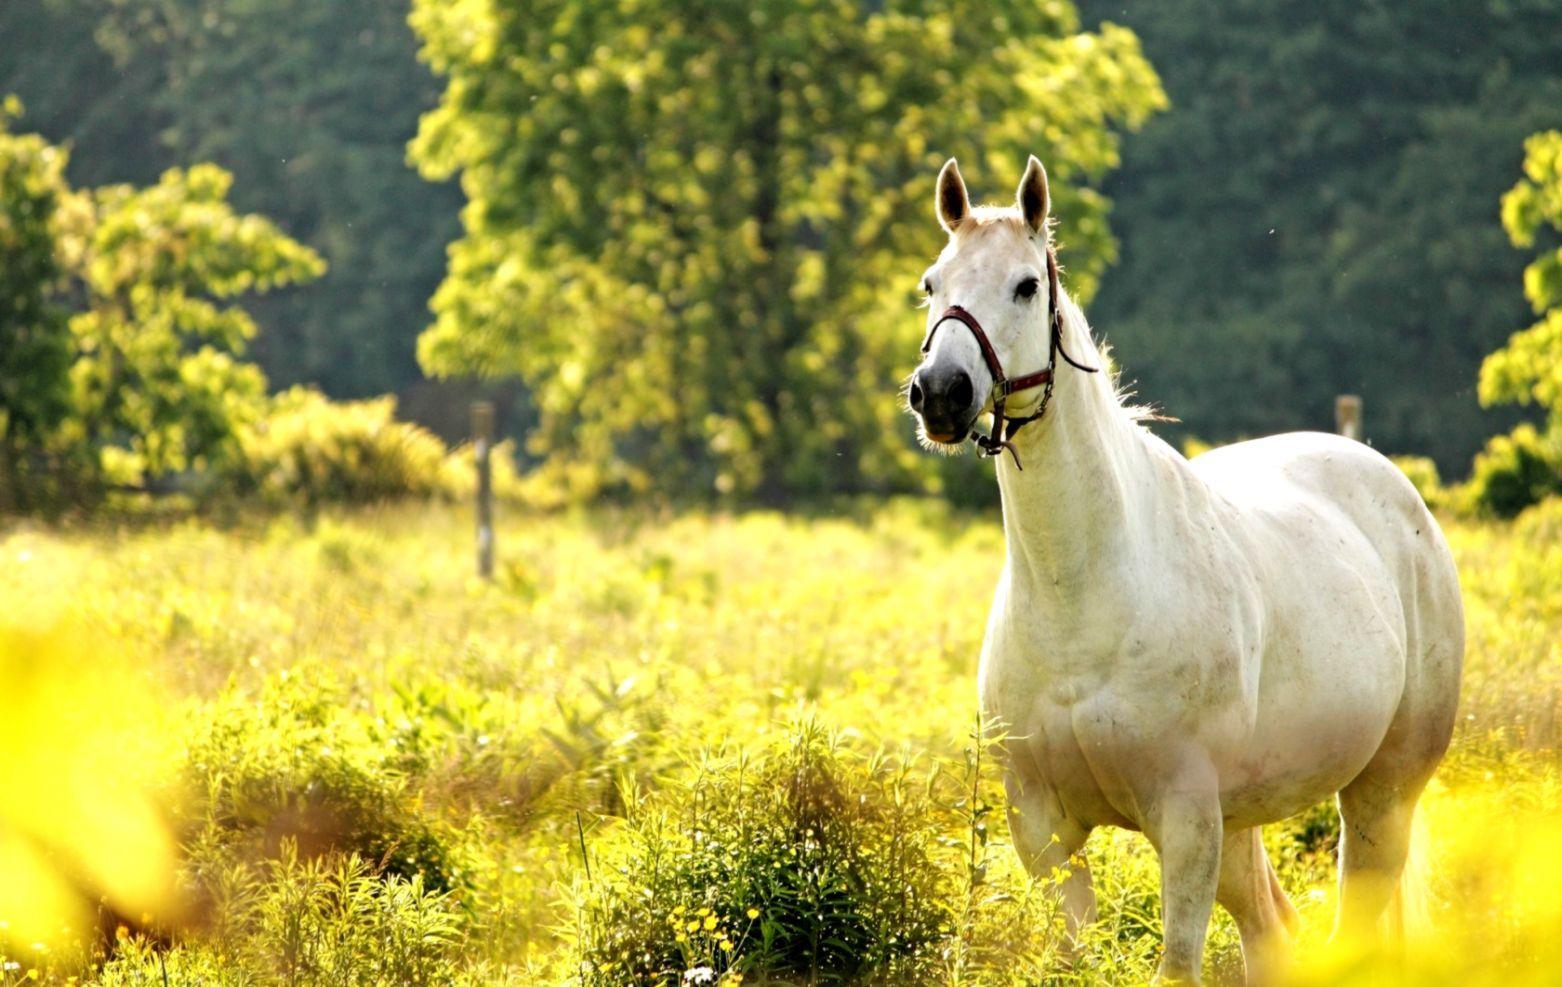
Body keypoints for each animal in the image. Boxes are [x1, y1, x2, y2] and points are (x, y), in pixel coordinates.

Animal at [905, 156, 1463, 984]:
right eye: (932, 283)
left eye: (1025, 286)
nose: (941, 392)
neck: (1085, 599)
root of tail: (1394, 491)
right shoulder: (1042, 829)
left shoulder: (1186, 818)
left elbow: (1177, 962)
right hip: (1246, 823)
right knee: (1272, 930)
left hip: (1379, 794)